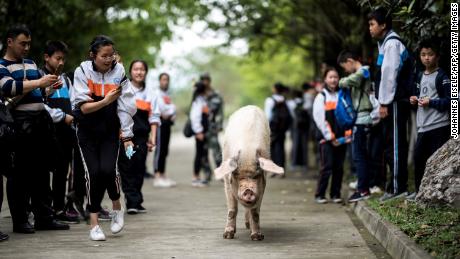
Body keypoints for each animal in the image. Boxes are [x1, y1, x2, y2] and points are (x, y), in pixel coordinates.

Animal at [213, 105, 284, 242]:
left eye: (256, 175)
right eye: (236, 175)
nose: (248, 190)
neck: (247, 153)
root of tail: (250, 106)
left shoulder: (262, 186)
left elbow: (255, 213)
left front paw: (257, 237)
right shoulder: (227, 183)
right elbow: (232, 210)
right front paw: (227, 236)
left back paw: (248, 226)